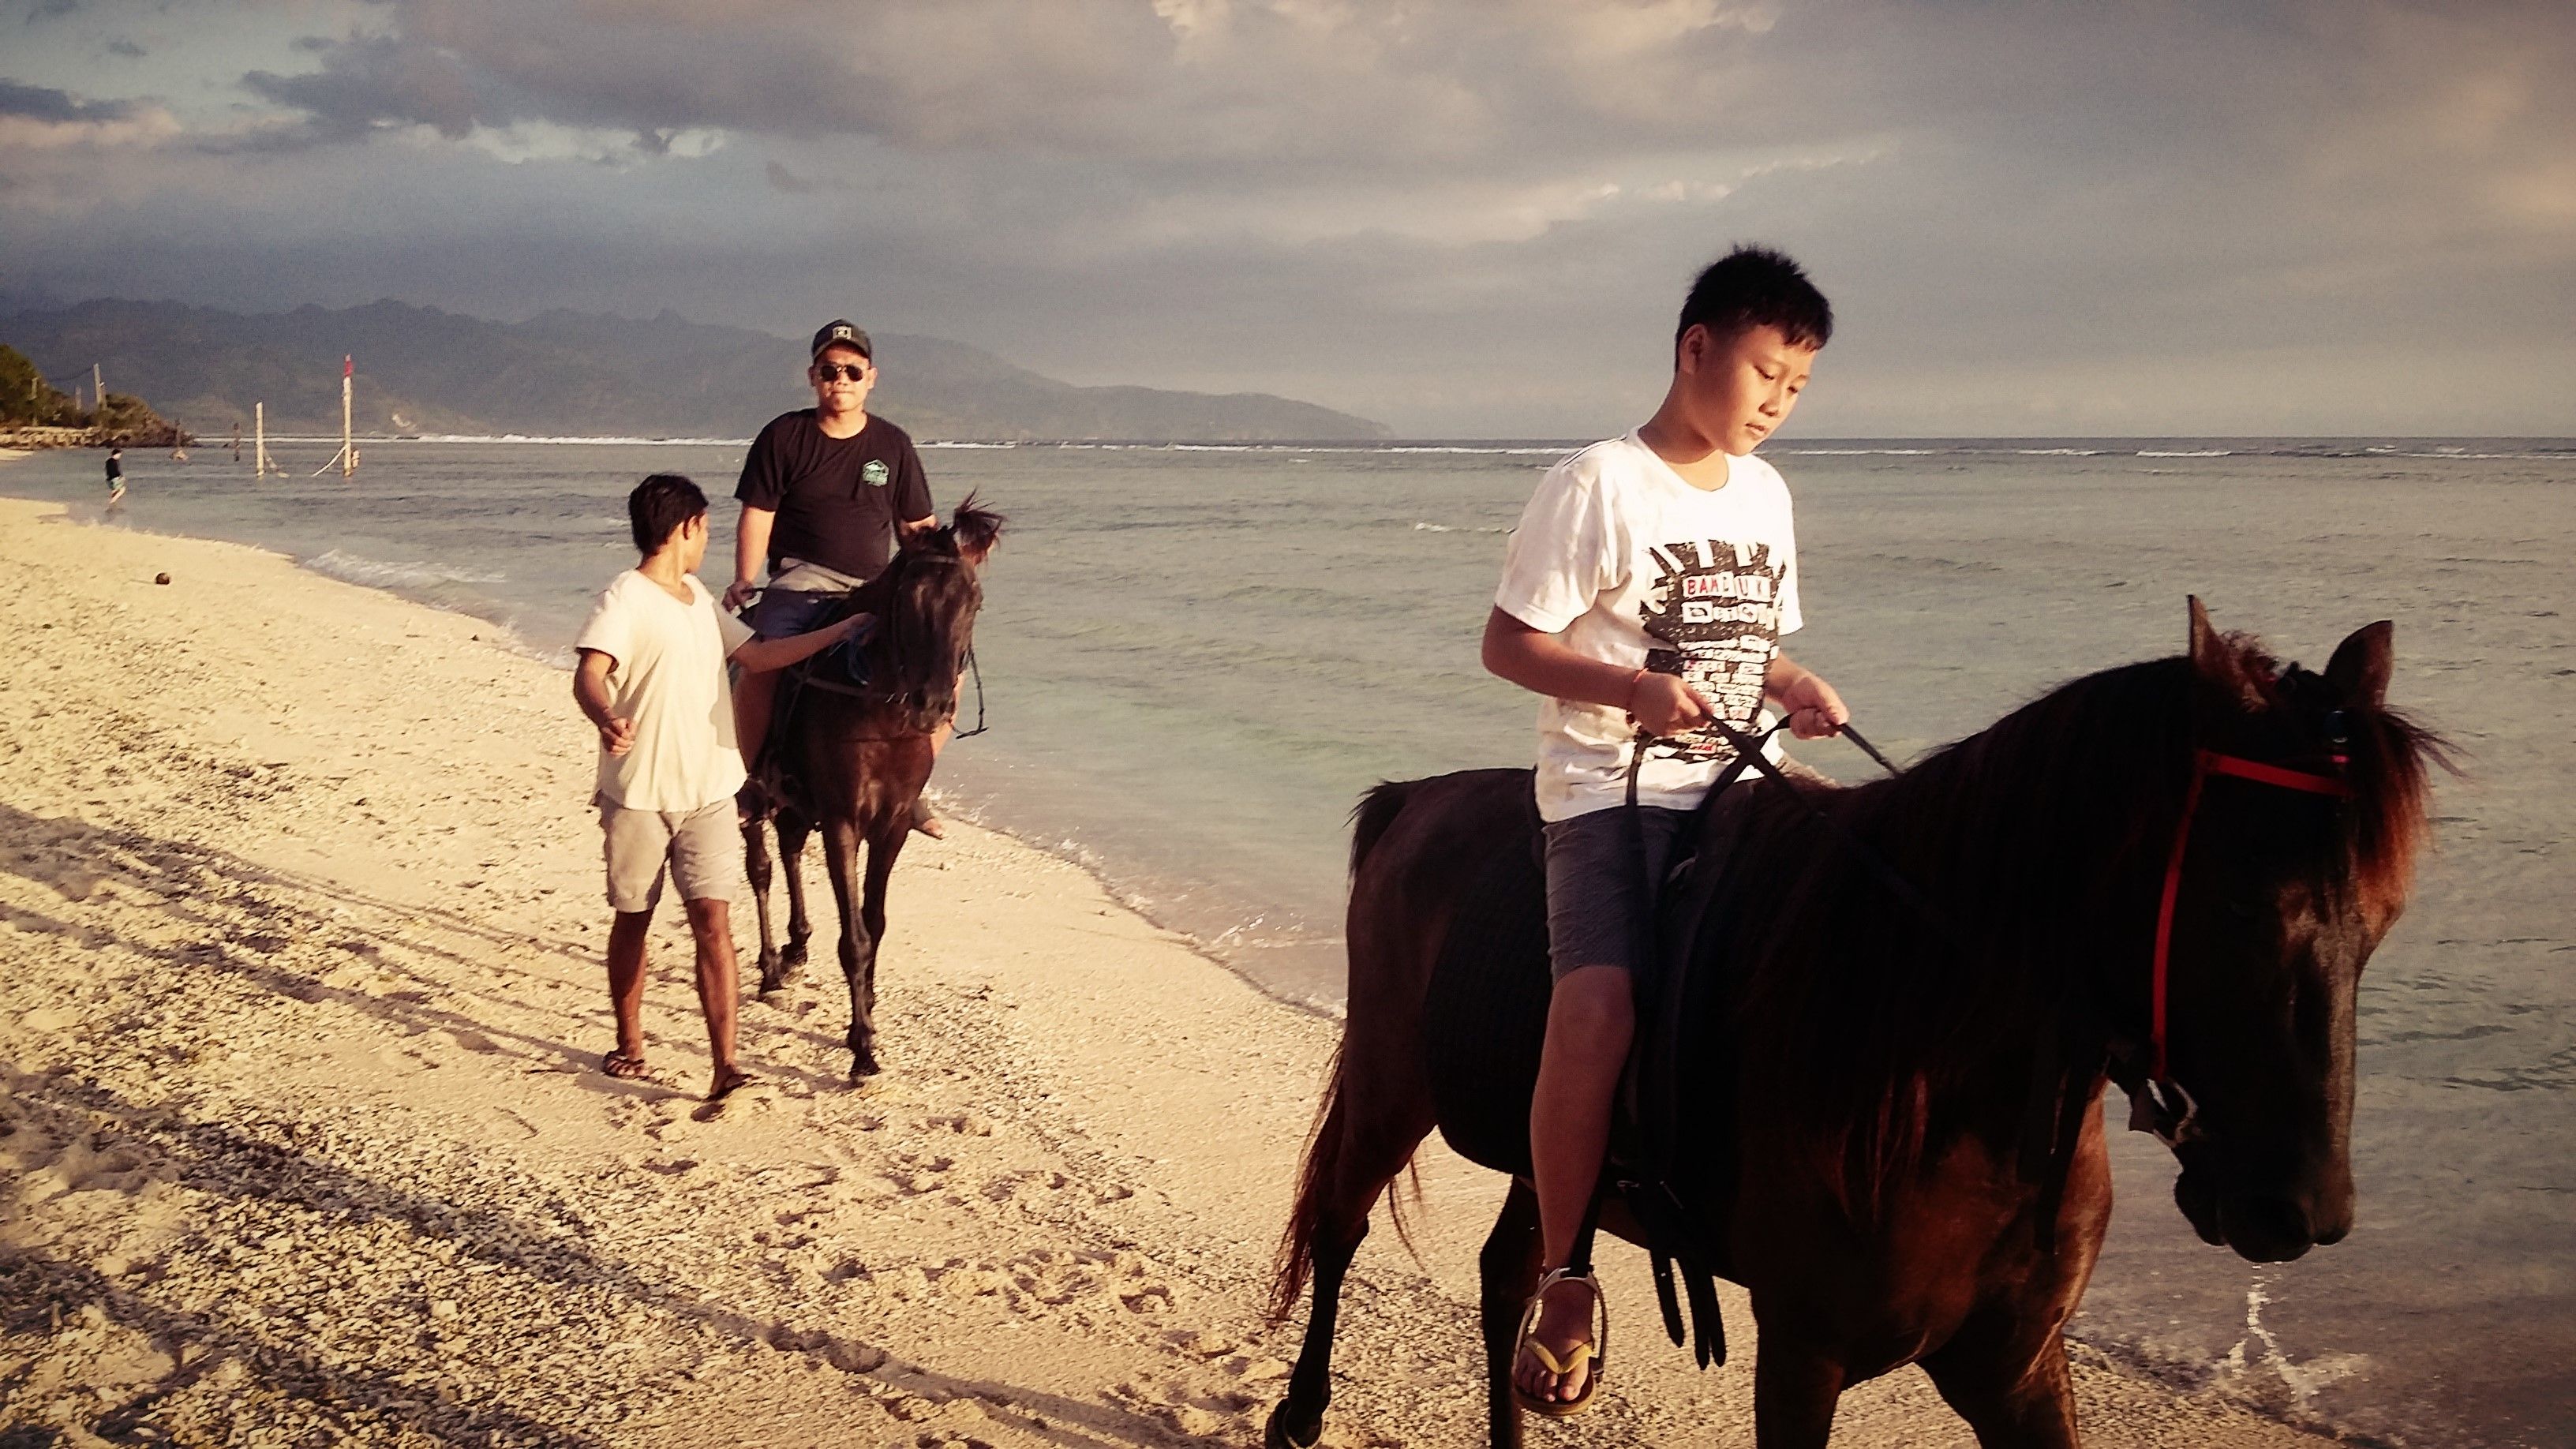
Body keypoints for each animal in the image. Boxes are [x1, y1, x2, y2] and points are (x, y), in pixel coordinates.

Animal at [747, 495, 1004, 1073]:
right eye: (908, 599)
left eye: (974, 601)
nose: (931, 703)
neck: (880, 714)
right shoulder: (844, 822)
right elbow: (855, 938)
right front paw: (861, 1043)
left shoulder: (892, 825)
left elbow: (875, 922)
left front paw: (867, 1003)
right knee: (762, 870)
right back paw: (771, 969)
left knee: (790, 849)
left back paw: (795, 949)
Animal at [1277, 593, 2442, 1433]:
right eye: (2241, 902)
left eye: (2386, 917)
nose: (2303, 1210)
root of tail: (1415, 798)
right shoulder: (1805, 1351)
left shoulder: (2015, 1366)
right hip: (1389, 1085)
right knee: (1340, 1223)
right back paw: (1300, 1409)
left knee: (1509, 1277)